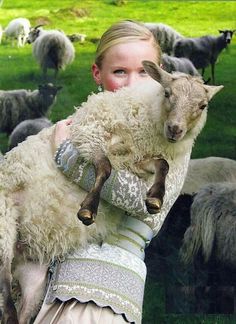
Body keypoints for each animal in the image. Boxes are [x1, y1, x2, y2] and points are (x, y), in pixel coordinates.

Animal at [0, 60, 223, 322]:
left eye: (202, 105)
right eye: (168, 93)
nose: (175, 129)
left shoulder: (135, 162)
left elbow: (162, 165)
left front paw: (155, 198)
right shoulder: (89, 134)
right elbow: (105, 168)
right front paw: (88, 209)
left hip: (33, 273)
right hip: (4, 228)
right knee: (5, 297)